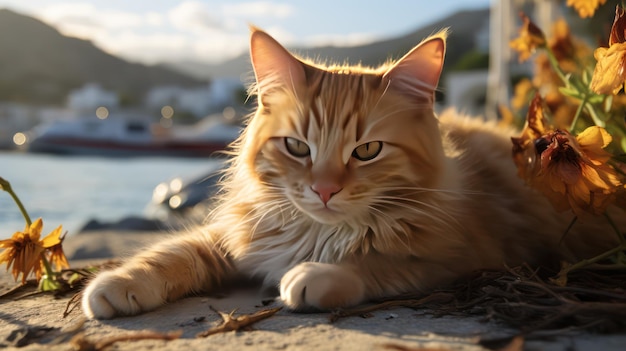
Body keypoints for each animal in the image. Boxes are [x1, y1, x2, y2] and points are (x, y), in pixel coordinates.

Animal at [80, 26, 612, 320]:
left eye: (368, 151)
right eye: (297, 147)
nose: (324, 190)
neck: (316, 232)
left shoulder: (463, 257)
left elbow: (374, 263)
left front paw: (317, 274)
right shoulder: (238, 234)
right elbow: (175, 252)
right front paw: (119, 282)